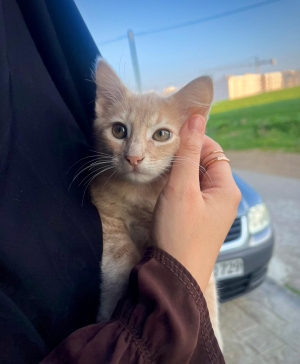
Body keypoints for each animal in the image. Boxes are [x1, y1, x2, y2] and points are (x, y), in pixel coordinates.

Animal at [91, 58, 223, 348]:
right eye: (119, 130)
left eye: (162, 135)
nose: (133, 158)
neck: (142, 192)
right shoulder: (105, 212)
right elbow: (121, 257)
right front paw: (113, 305)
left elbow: (205, 288)